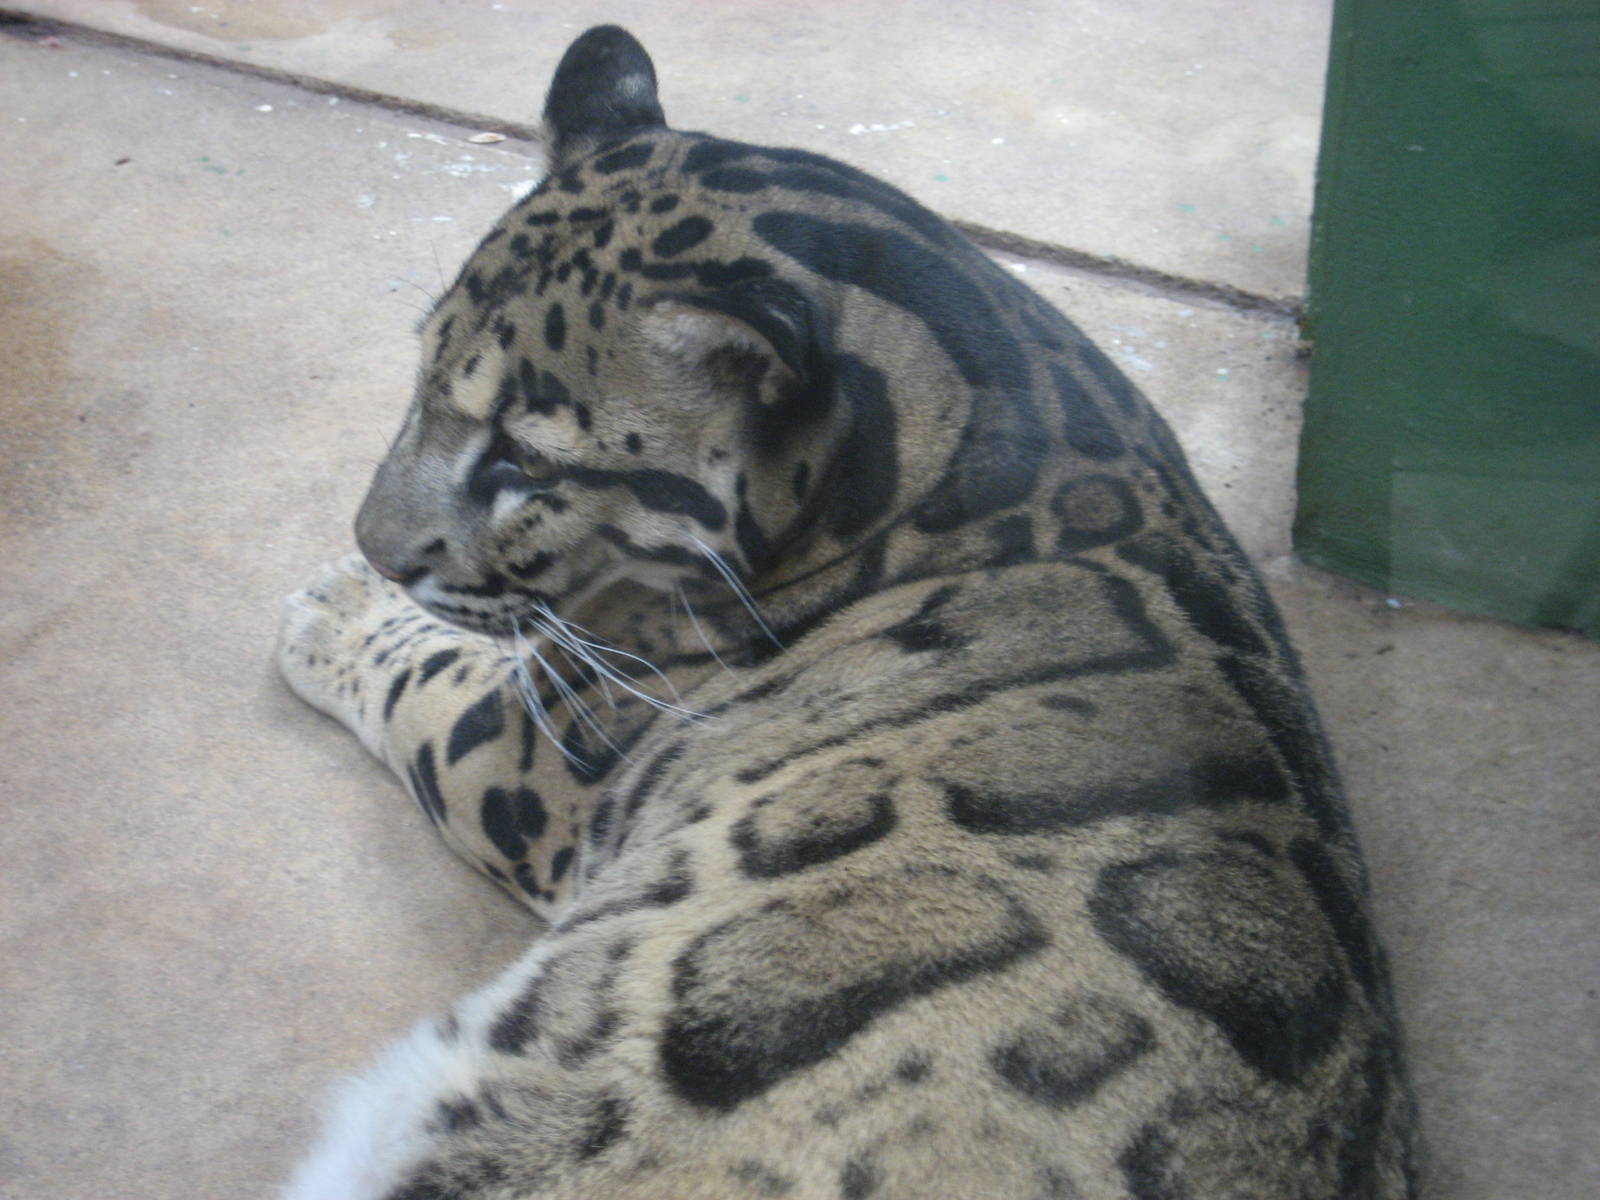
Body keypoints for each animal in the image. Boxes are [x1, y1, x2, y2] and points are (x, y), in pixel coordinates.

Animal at [275, 25, 1419, 1200]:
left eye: (522, 460)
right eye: (419, 374)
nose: (376, 543)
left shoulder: (534, 751)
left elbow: (434, 679)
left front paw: (342, 608)